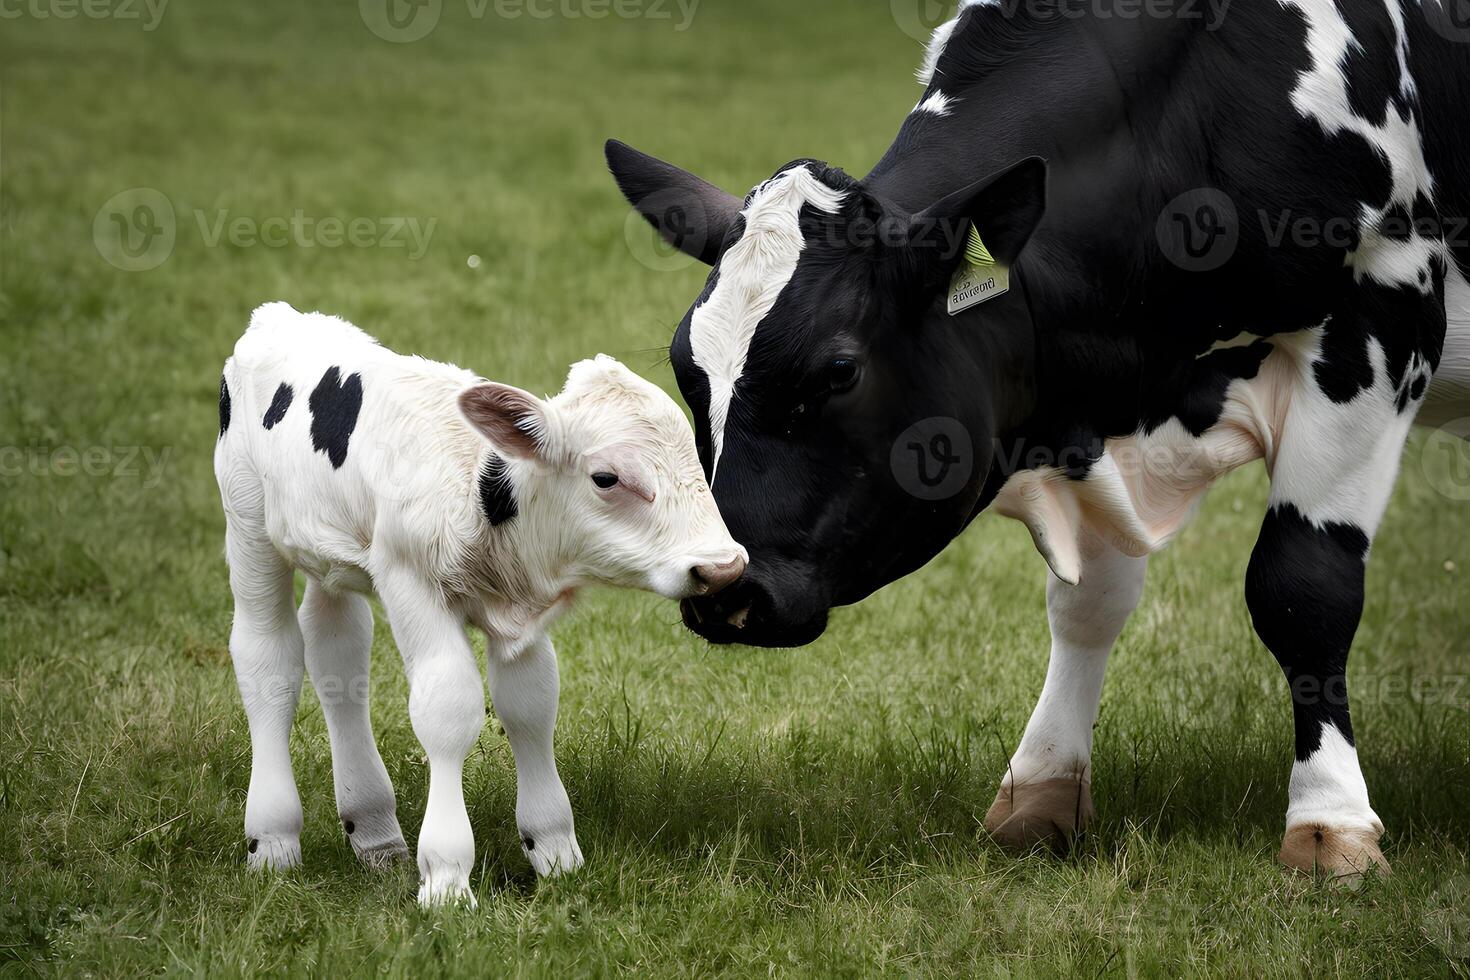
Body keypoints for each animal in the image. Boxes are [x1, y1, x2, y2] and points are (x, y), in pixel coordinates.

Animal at [214, 302, 746, 910]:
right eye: (607, 477)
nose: (723, 567)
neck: (477, 489)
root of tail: (279, 316)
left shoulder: (524, 623)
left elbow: (530, 706)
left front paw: (555, 853)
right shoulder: (409, 583)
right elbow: (447, 708)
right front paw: (446, 879)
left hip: (331, 552)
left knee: (337, 657)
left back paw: (373, 831)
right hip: (247, 525)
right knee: (268, 659)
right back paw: (273, 841)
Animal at [602, 0, 1464, 875]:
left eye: (840, 369)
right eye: (684, 362)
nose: (723, 586)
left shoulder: (1382, 317)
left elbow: (1304, 587)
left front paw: (1330, 824)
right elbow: (1088, 604)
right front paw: (1044, 787)